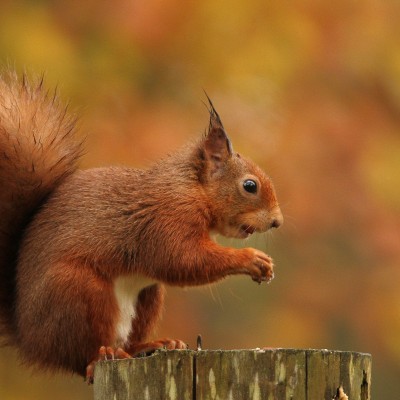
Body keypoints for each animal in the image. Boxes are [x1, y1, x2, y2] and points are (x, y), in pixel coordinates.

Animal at [0, 70, 282, 382]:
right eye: (249, 186)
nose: (277, 221)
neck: (192, 189)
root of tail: (28, 338)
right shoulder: (167, 218)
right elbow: (184, 259)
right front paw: (251, 259)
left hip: (148, 295)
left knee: (127, 341)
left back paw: (151, 345)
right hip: (76, 291)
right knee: (81, 358)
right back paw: (103, 355)